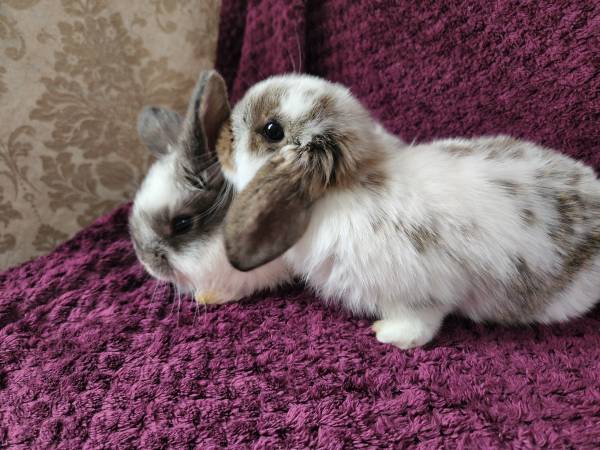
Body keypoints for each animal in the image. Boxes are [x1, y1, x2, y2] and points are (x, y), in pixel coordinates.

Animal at [216, 73, 600, 348]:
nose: (220, 138)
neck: (351, 182)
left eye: (272, 130)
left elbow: (420, 323)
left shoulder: (421, 294)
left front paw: (387, 334)